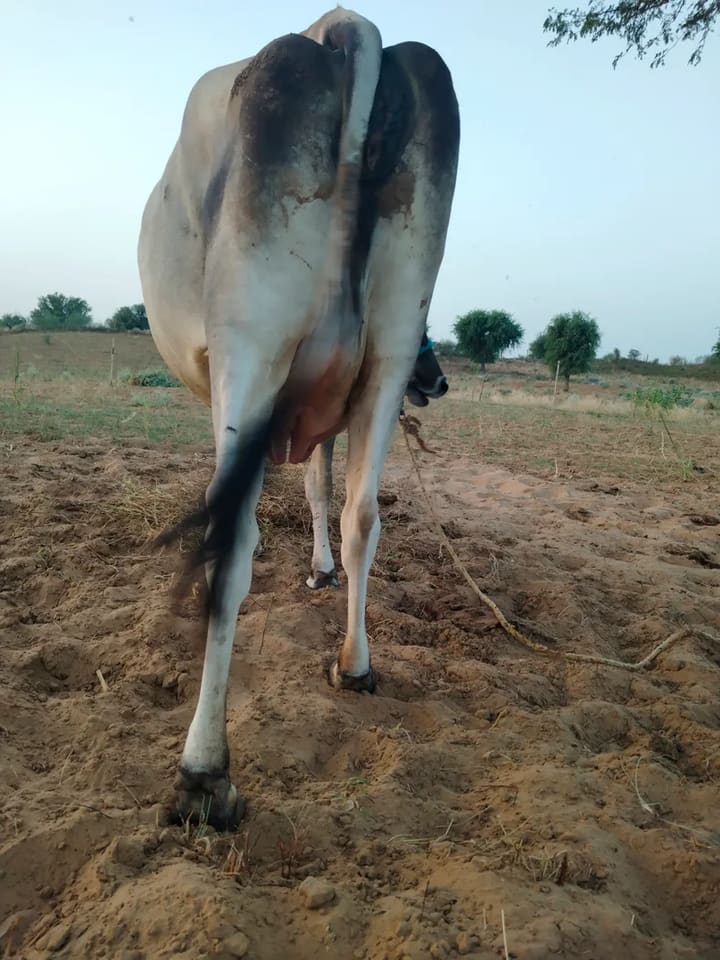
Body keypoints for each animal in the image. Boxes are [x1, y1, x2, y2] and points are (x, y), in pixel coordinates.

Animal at [138, 6, 459, 828]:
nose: (438, 380)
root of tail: (347, 30)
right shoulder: (327, 412)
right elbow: (323, 494)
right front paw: (318, 569)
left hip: (252, 345)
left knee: (230, 539)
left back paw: (203, 774)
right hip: (383, 355)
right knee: (363, 515)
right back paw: (356, 666)